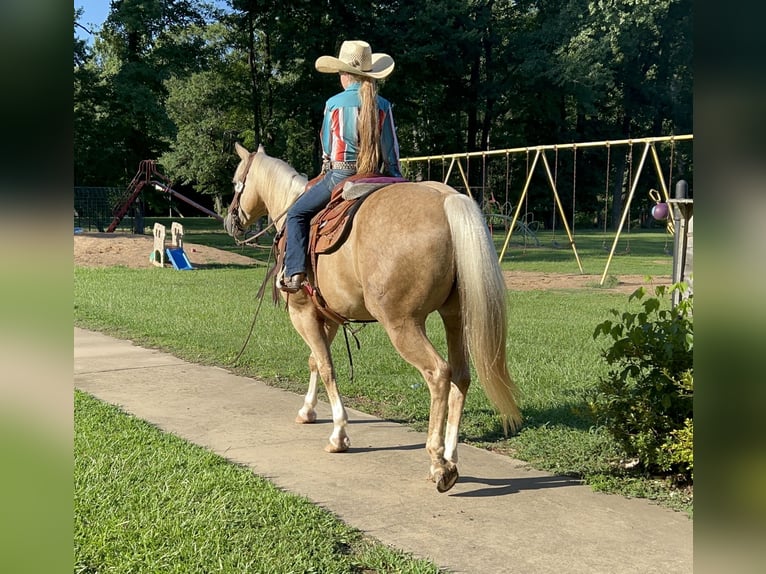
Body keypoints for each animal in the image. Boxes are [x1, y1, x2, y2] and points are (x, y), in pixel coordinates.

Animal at [224, 142, 520, 492]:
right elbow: (315, 361)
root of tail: (446, 200)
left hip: (403, 324)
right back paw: (450, 456)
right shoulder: (328, 317)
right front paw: (308, 410)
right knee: (460, 375)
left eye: (236, 182)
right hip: (454, 317)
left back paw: (438, 462)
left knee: (438, 374)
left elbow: (326, 367)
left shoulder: (302, 312)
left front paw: (338, 434)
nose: (230, 221)